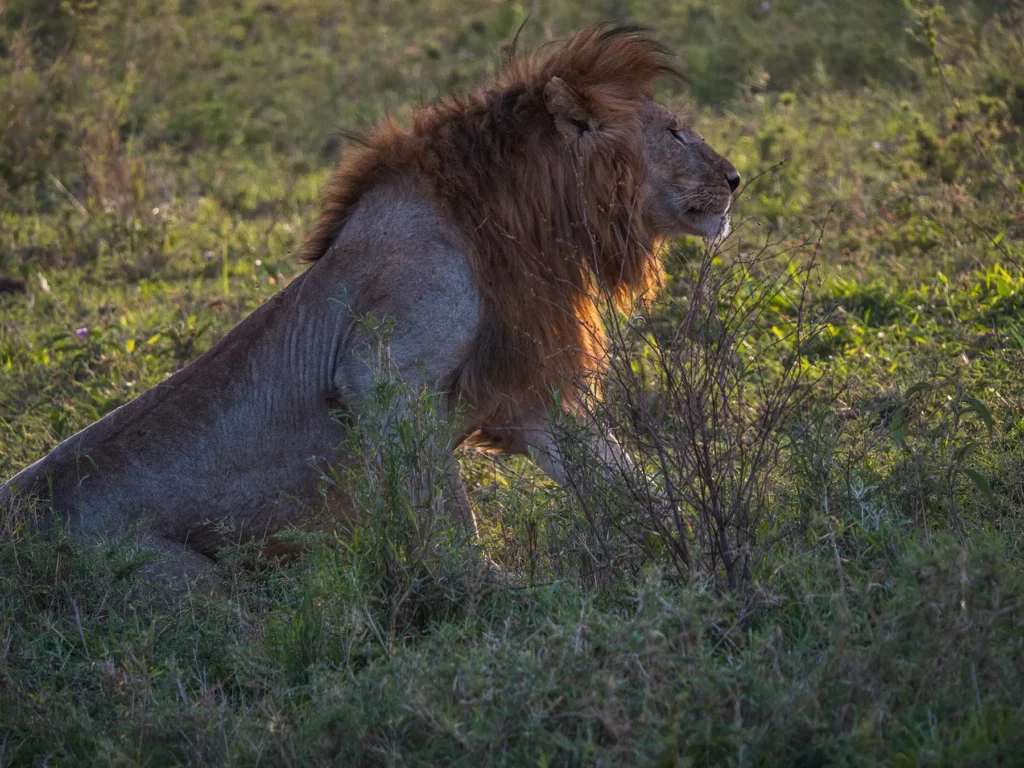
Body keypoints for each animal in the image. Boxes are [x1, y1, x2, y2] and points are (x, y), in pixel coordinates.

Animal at [1, 25, 740, 578]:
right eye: (675, 131)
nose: (736, 177)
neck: (523, 226)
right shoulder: (383, 372)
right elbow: (447, 513)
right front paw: (491, 595)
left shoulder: (531, 401)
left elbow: (627, 480)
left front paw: (701, 556)